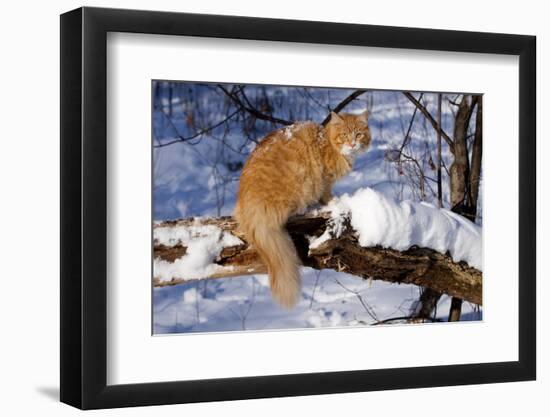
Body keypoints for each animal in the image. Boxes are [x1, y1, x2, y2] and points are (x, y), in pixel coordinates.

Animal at [235, 112, 374, 308]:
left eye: (358, 135)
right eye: (345, 135)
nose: (352, 144)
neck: (328, 143)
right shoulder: (325, 179)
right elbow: (327, 194)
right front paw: (333, 201)